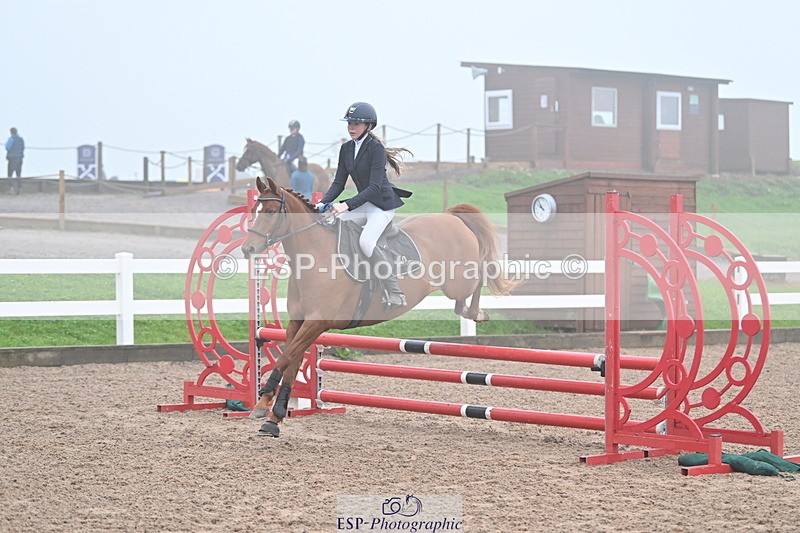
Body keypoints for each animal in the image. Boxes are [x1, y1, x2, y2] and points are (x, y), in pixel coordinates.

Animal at [240, 176, 516, 437]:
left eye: (270, 212)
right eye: (254, 210)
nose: (247, 249)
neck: (315, 255)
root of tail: (452, 218)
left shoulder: (317, 322)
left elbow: (285, 358)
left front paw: (264, 403)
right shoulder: (299, 322)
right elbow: (291, 362)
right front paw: (273, 417)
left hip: (458, 282)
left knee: (480, 274)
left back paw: (477, 313)